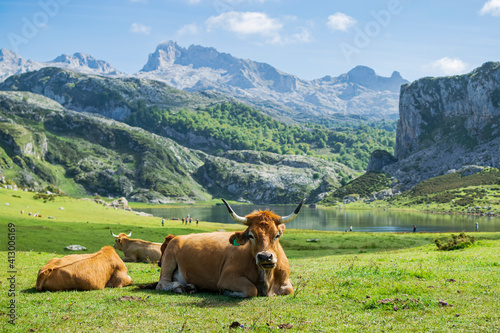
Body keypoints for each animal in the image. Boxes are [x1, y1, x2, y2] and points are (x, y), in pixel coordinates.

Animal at [156, 198, 304, 296]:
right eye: (251, 235)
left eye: (277, 235)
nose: (265, 256)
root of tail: (176, 237)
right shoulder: (227, 277)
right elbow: (251, 289)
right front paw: (228, 292)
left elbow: (288, 289)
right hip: (168, 260)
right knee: (162, 284)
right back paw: (180, 287)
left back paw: (190, 287)